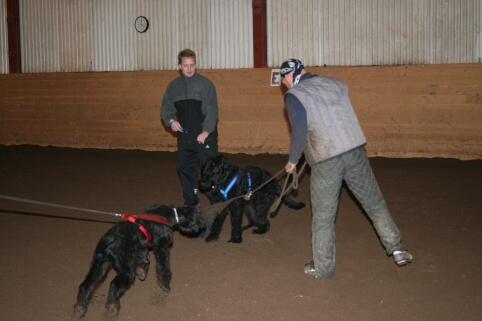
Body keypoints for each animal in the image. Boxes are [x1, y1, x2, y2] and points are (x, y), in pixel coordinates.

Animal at [73, 204, 205, 316]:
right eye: (197, 217)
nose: (203, 225)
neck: (171, 214)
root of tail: (107, 241)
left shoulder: (141, 246)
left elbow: (144, 259)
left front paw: (142, 272)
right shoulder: (162, 247)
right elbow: (163, 268)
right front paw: (165, 285)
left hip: (99, 265)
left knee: (86, 285)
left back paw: (79, 309)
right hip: (125, 269)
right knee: (114, 285)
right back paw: (112, 307)